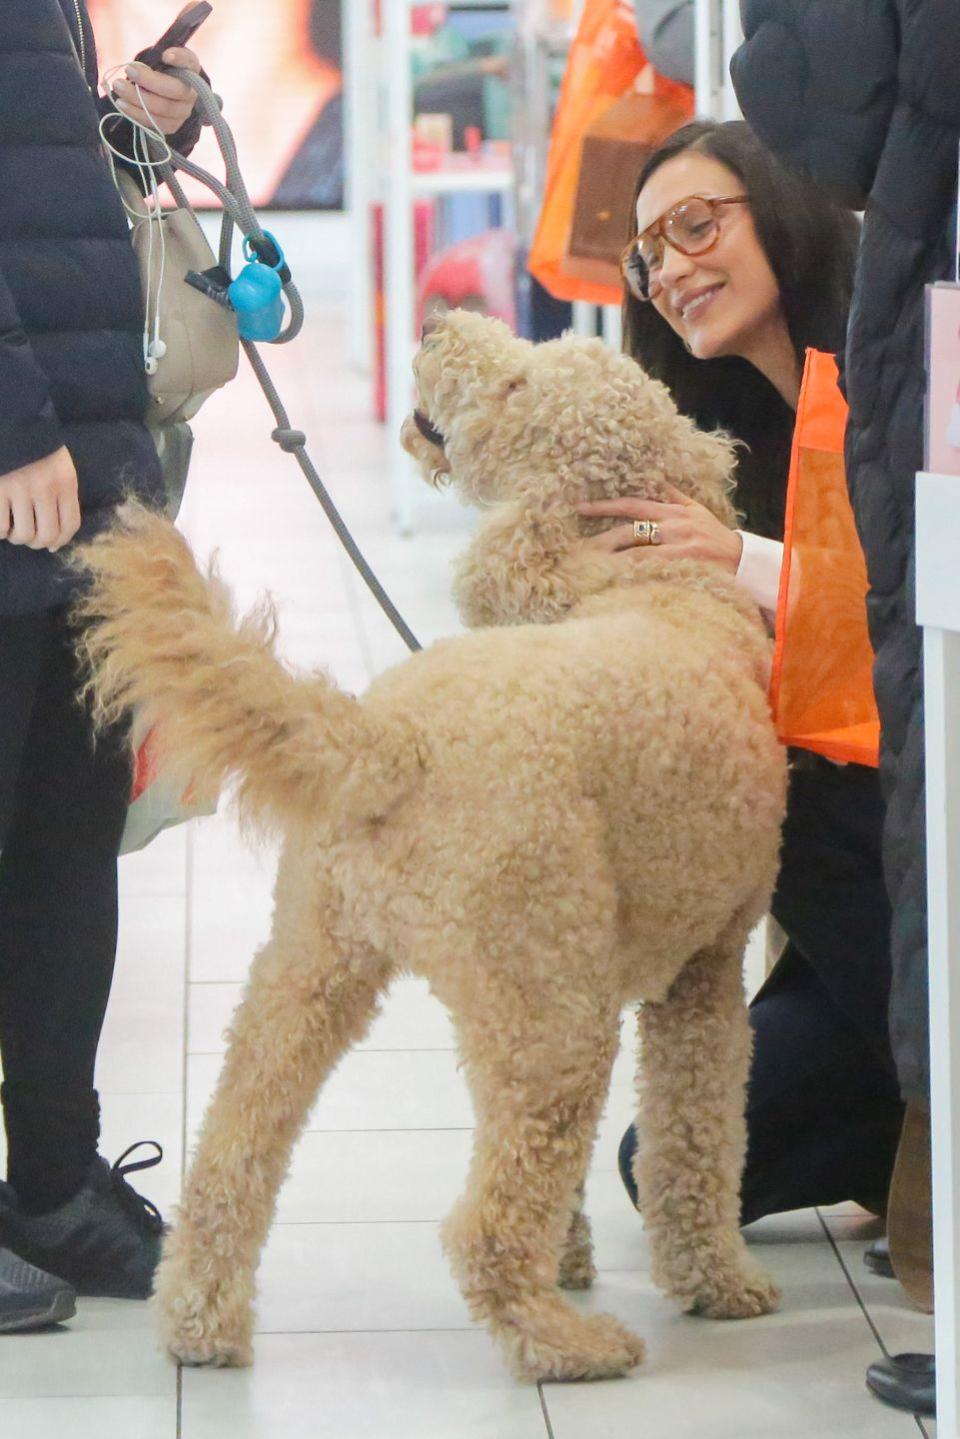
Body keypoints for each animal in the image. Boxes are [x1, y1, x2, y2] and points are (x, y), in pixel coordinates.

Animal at [77, 312, 788, 1381]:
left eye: (520, 382)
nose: (438, 323)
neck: (651, 578)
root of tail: (387, 740)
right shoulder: (704, 973)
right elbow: (693, 1144)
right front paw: (715, 1279)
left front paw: (574, 1253)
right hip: (556, 1015)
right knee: (484, 1226)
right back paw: (565, 1342)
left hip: (312, 971)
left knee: (234, 1152)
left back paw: (200, 1319)